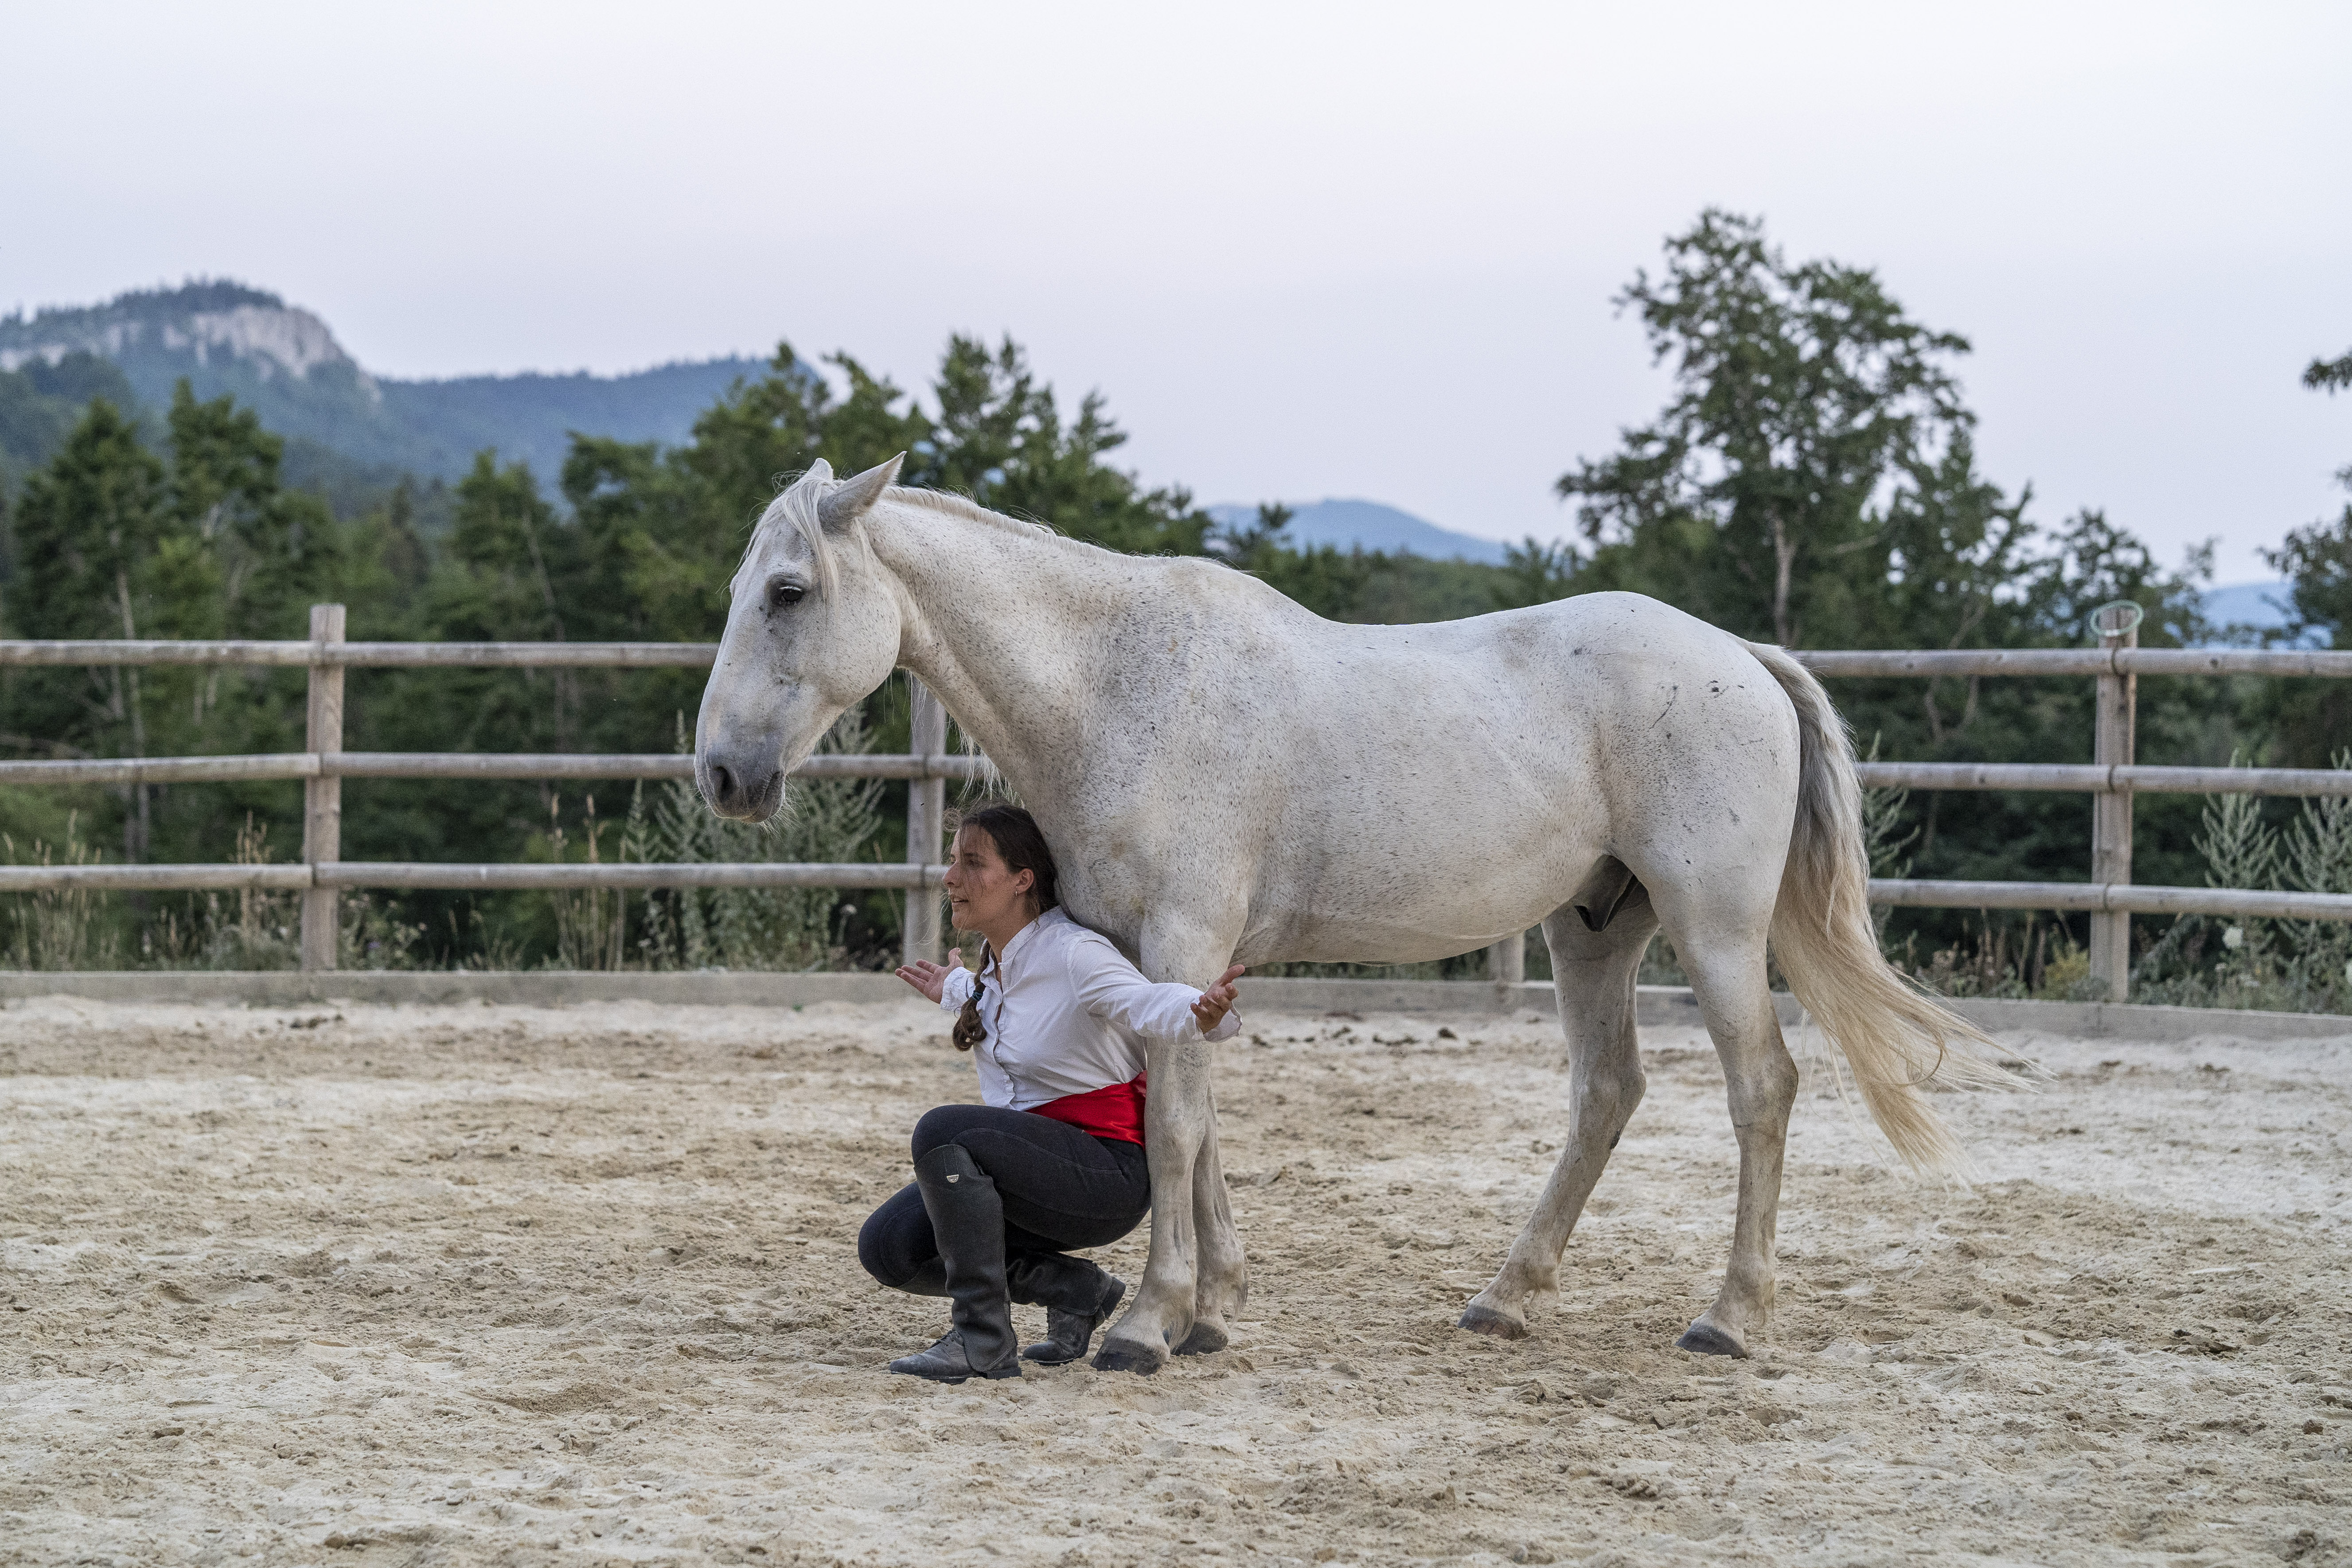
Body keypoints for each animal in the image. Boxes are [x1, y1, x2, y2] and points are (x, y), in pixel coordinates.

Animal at [695, 456, 2023, 1374]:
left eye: (788, 590)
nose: (720, 774)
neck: (1122, 685)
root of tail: (1742, 657)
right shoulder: (1155, 964)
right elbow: (1196, 1128)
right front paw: (1213, 1308)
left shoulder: (1182, 944)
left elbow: (1173, 1132)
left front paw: (1149, 1322)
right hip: (1595, 928)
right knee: (1607, 1093)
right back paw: (1505, 1296)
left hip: (1716, 930)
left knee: (1760, 1089)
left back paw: (1729, 1318)